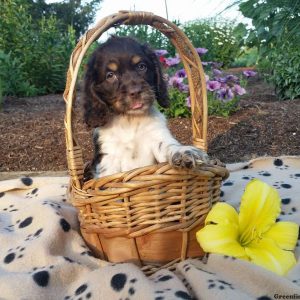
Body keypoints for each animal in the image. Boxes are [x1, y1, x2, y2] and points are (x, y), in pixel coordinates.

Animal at [82, 36, 209, 179]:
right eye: (110, 75)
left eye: (141, 66)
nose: (136, 92)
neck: (130, 120)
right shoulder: (108, 153)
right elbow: (108, 175)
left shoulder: (157, 135)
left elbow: (168, 145)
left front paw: (184, 152)